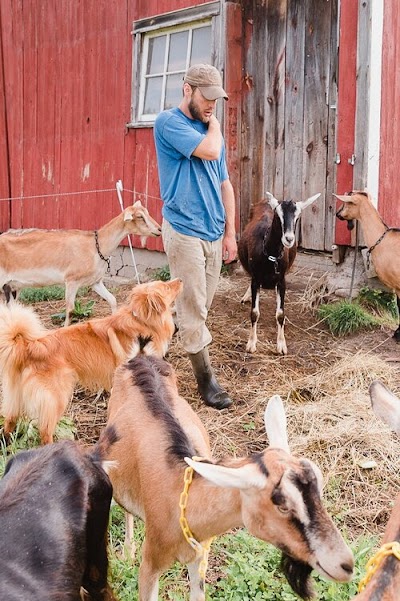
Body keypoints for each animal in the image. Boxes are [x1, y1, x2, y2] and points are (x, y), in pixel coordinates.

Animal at [0, 278, 182, 442]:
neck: (142, 320)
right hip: (56, 399)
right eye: (166, 287)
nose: (180, 280)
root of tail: (29, 346)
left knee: (9, 421)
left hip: (15, 397)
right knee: (45, 431)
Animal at [105, 356, 354, 600]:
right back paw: (127, 550)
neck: (182, 495)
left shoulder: (199, 556)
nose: (346, 564)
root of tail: (140, 358)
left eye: (319, 487)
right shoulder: (150, 563)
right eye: (282, 505)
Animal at [238, 191, 322, 352]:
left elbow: (280, 314)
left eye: (297, 216)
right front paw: (251, 343)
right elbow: (254, 313)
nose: (289, 239)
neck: (271, 256)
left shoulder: (281, 281)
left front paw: (282, 345)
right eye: (278, 215)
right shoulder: (256, 279)